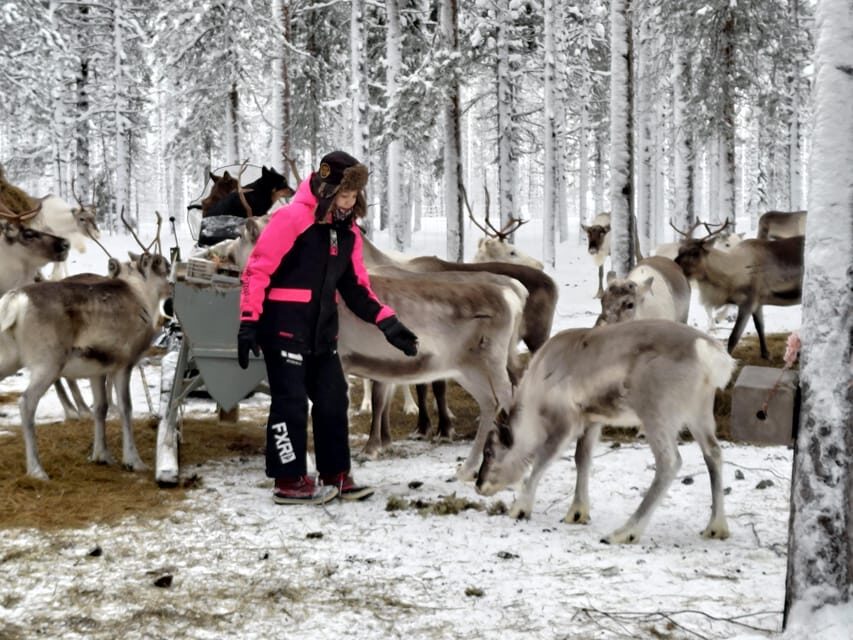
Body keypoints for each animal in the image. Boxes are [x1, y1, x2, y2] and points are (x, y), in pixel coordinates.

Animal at [0, 216, 170, 480]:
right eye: (160, 264)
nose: (172, 283)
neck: (141, 296)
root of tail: (15, 300)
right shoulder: (124, 364)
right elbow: (126, 408)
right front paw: (133, 461)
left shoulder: (96, 370)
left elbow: (101, 408)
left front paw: (101, 455)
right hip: (48, 364)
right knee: (26, 404)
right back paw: (37, 470)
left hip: (9, 358)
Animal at [475, 320, 736, 544]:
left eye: (489, 452)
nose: (479, 484)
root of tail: (708, 353)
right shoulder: (592, 420)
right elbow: (582, 459)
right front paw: (577, 513)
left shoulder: (567, 421)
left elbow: (543, 459)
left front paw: (520, 508)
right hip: (699, 412)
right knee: (713, 453)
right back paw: (716, 527)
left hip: (656, 414)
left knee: (670, 462)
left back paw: (625, 532)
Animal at [673, 220, 804, 359]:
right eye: (679, 250)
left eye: (695, 253)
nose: (674, 264)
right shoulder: (758, 303)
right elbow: (760, 327)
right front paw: (766, 354)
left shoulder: (747, 302)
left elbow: (734, 337)